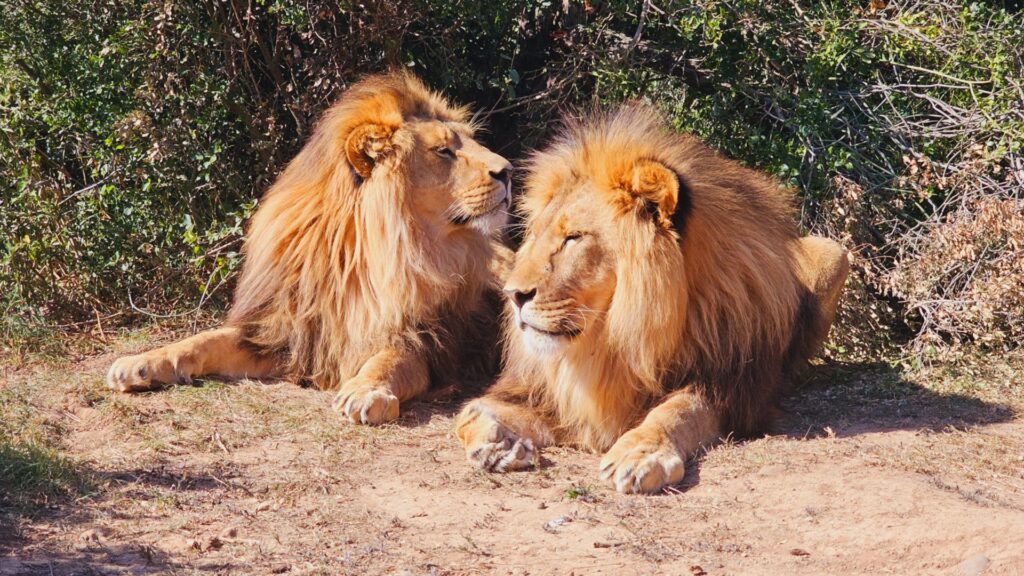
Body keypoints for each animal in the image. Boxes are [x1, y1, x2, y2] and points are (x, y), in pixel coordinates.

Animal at [108, 70, 516, 422]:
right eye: (443, 151)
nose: (509, 170)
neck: (365, 253)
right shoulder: (284, 331)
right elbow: (203, 340)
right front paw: (139, 363)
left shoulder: (425, 339)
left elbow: (390, 360)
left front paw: (365, 391)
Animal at [456, 105, 847, 491]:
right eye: (536, 235)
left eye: (574, 238)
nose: (513, 295)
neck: (613, 340)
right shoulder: (544, 394)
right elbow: (470, 412)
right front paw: (495, 446)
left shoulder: (732, 386)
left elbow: (679, 411)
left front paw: (642, 453)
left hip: (833, 251)